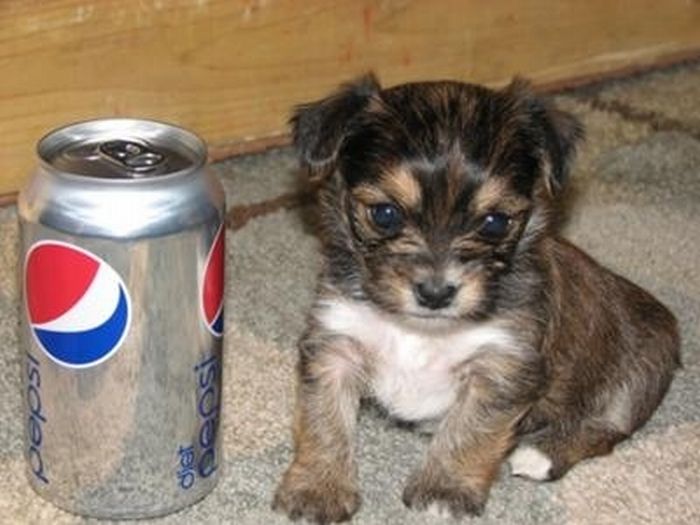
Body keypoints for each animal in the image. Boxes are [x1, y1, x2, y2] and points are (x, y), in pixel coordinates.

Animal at [272, 72, 680, 520]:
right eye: (385, 214)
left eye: (495, 222)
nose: (435, 293)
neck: (422, 330)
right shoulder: (336, 345)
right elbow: (324, 422)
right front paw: (318, 489)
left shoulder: (502, 366)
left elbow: (469, 429)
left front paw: (444, 489)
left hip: (639, 377)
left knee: (605, 430)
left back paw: (540, 453)